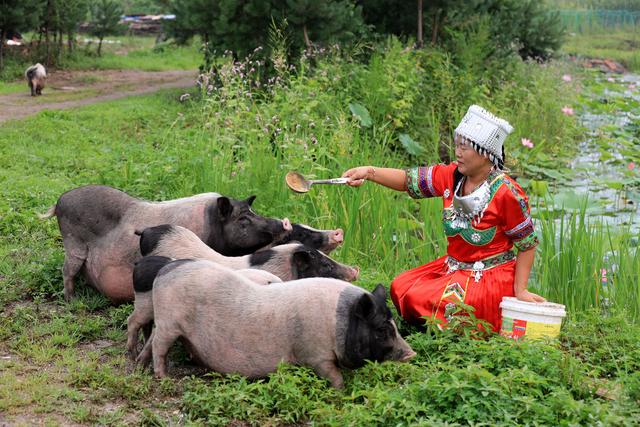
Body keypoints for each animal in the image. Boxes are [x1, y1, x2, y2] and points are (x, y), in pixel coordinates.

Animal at [39, 185, 290, 304]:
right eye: (243, 219)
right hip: (73, 244)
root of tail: (59, 201)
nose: (283, 223)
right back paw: (72, 300)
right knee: (67, 271)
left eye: (254, 211)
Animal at [135, 260, 416, 390]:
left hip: (164, 322)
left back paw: (138, 364)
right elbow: (333, 375)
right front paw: (342, 391)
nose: (411, 354)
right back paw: (162, 377)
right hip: (170, 322)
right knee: (159, 347)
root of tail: (168, 268)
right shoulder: (316, 354)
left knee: (151, 341)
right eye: (382, 329)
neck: (340, 321)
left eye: (394, 324)